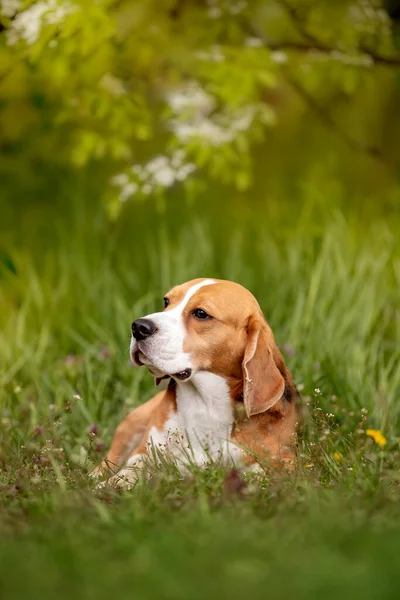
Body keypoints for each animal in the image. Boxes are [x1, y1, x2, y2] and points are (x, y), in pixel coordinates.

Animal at [94, 278, 298, 488]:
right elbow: (132, 467)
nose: (138, 326)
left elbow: (259, 473)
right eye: (166, 301)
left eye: (201, 313)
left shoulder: (285, 465)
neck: (205, 404)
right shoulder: (145, 450)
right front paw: (110, 485)